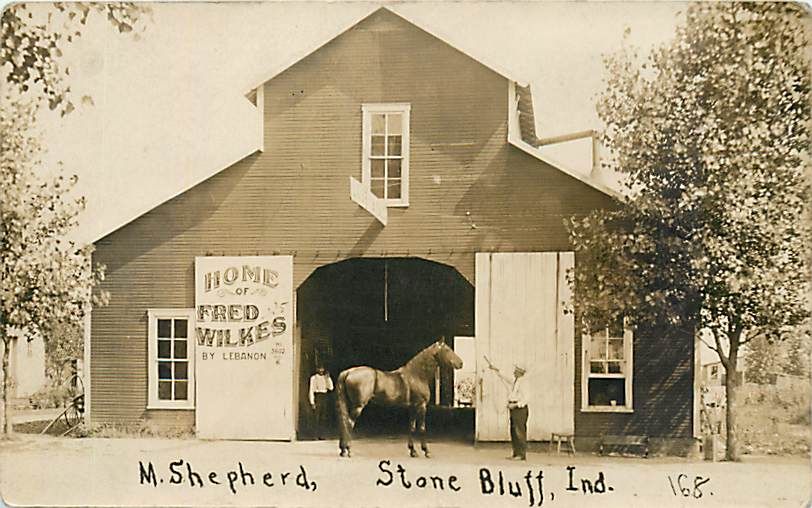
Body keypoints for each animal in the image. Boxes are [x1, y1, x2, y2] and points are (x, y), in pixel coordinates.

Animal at [334, 340, 464, 458]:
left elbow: (411, 427)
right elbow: (422, 428)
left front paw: (413, 451)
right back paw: (348, 450)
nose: (461, 363)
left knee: (344, 422)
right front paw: (426, 451)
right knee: (349, 423)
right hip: (358, 406)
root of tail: (348, 372)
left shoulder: (412, 407)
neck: (417, 375)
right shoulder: (421, 406)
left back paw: (343, 450)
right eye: (447, 350)